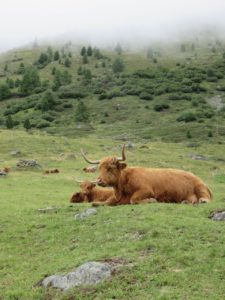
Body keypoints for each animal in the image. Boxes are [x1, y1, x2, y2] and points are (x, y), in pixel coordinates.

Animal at [81, 144, 213, 205]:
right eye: (99, 168)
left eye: (110, 168)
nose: (99, 181)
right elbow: (101, 203)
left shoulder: (146, 190)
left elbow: (133, 199)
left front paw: (152, 200)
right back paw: (186, 202)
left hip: (200, 187)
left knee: (205, 198)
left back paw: (202, 201)